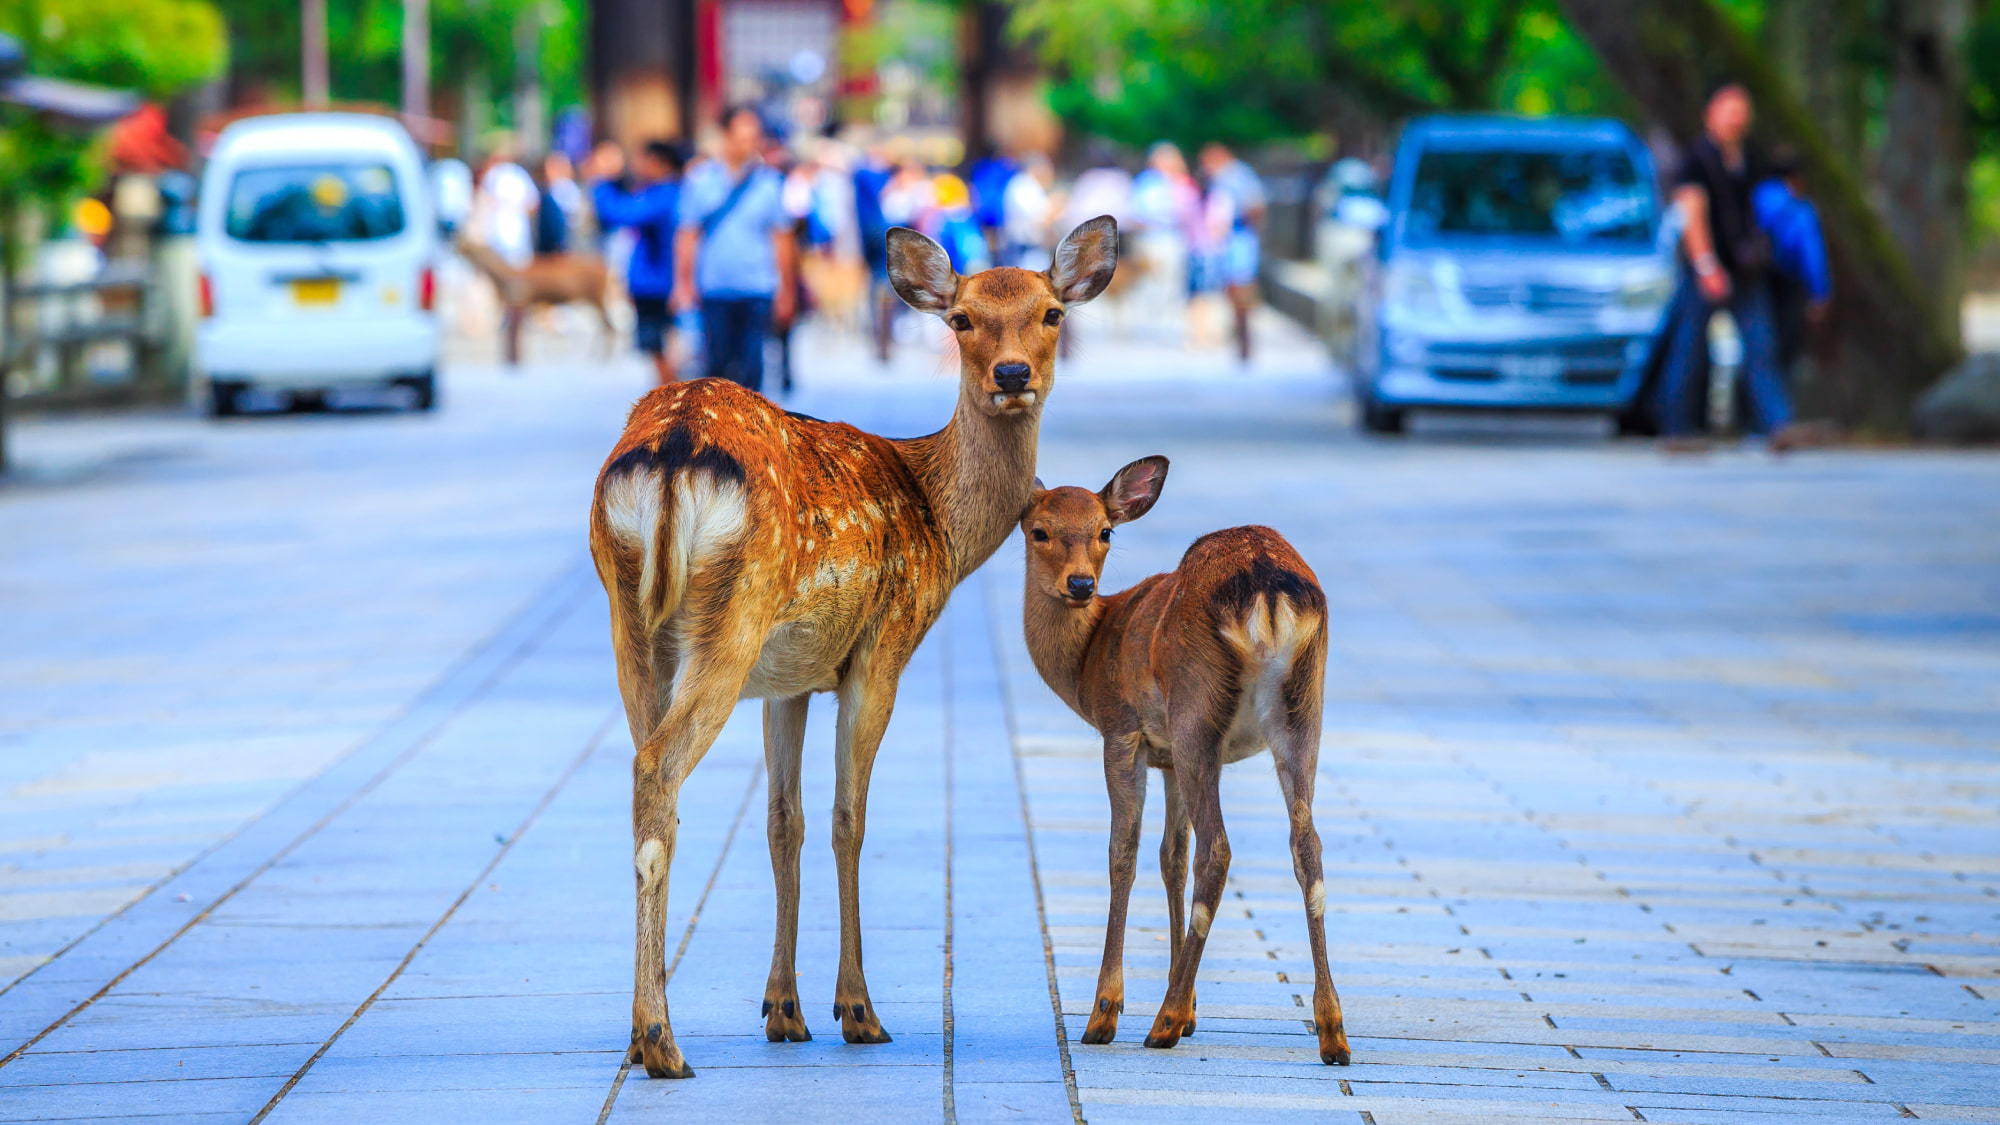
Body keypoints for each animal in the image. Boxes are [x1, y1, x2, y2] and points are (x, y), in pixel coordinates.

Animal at [588, 212, 1128, 1080]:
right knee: (658, 767)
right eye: (961, 318)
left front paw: (783, 1010)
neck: (939, 520)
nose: (1012, 373)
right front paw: (858, 1010)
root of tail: (670, 451)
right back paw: (663, 1040)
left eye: (1051, 313)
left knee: (647, 771)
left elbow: (785, 820)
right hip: (733, 616)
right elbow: (850, 817)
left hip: (630, 622)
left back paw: (641, 1036)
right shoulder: (882, 646)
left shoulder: (787, 678)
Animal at [1016, 456, 1360, 1056]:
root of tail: (1267, 588)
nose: (1080, 585)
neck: (1088, 659)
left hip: (1197, 708)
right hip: (1302, 711)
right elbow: (1170, 857)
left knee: (1218, 850)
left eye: (1105, 532)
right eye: (1039, 530)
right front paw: (1195, 1011)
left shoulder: (1123, 731)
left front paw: (1105, 1013)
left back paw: (1163, 1020)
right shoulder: (1169, 759)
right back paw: (1331, 1030)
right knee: (1306, 845)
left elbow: (1124, 854)